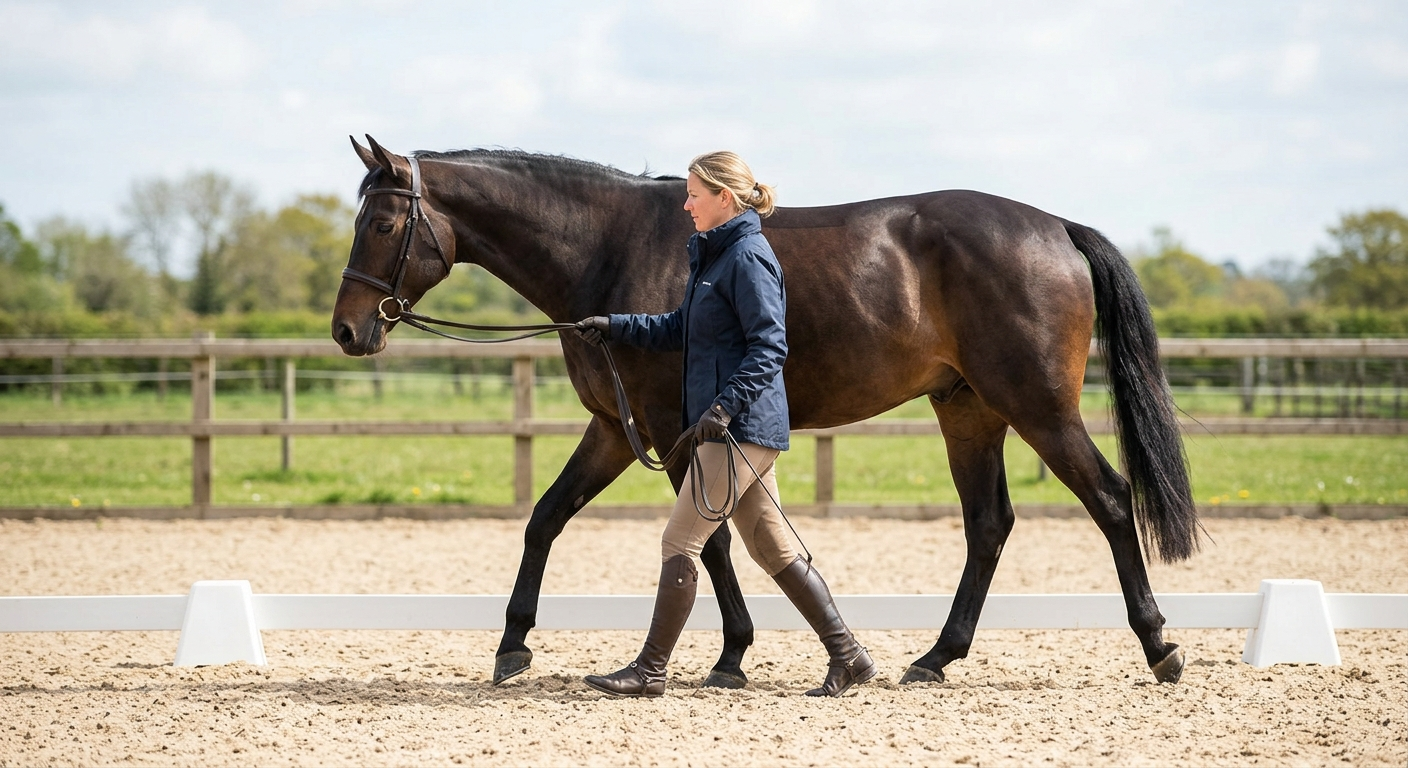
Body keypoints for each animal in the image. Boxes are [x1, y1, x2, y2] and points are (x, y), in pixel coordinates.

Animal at [332, 135, 1201, 688]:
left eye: (382, 222)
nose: (348, 330)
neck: (608, 248)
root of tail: (1056, 227)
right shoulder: (618, 429)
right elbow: (546, 519)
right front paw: (513, 647)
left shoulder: (677, 429)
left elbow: (709, 545)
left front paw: (730, 655)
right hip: (969, 412)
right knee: (988, 525)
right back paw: (935, 658)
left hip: (1038, 407)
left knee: (1110, 500)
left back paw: (1158, 646)